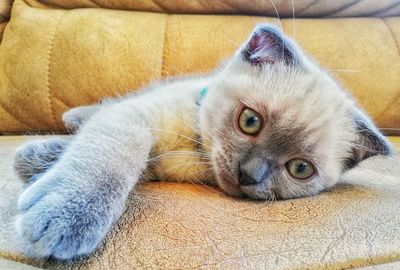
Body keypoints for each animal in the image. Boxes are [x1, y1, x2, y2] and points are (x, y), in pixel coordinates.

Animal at [11, 24, 390, 260]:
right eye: (250, 121)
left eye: (299, 169)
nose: (249, 174)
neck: (193, 150)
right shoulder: (137, 118)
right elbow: (110, 155)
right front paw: (65, 215)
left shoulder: (155, 159)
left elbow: (124, 158)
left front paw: (37, 158)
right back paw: (73, 117)